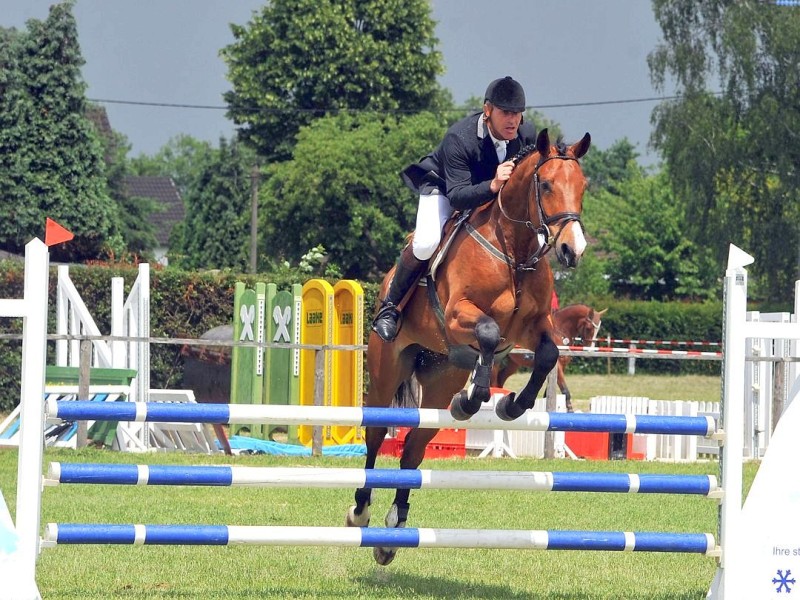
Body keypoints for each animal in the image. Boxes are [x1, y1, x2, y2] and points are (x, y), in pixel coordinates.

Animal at [346, 129, 592, 564]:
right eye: (546, 185)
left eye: (583, 187)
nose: (572, 250)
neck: (514, 249)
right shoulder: (460, 315)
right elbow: (490, 333)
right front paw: (474, 399)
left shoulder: (532, 329)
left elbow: (547, 355)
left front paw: (511, 405)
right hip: (386, 369)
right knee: (375, 435)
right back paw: (361, 511)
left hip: (441, 380)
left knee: (414, 447)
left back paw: (394, 528)